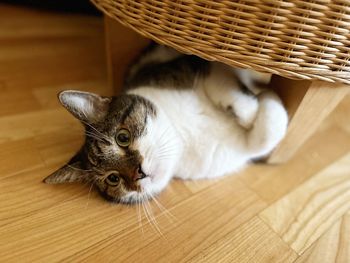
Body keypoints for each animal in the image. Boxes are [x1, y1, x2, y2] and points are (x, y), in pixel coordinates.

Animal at [43, 44, 288, 205]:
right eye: (113, 179)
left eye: (122, 138)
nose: (138, 174)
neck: (183, 136)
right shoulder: (233, 152)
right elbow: (269, 132)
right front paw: (270, 98)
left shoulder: (195, 62)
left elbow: (223, 82)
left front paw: (252, 107)